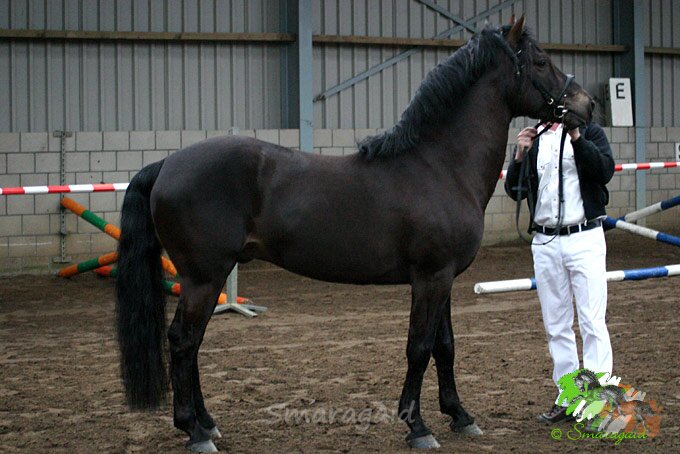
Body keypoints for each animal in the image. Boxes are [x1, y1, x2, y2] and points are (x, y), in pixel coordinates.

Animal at [115, 17, 594, 451]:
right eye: (540, 61)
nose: (586, 105)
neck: (440, 165)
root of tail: (167, 164)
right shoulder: (430, 278)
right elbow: (419, 347)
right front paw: (418, 427)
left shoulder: (445, 279)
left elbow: (445, 346)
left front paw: (461, 416)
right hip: (203, 277)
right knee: (183, 342)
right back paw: (194, 432)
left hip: (208, 278)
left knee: (192, 344)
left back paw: (208, 424)